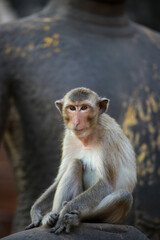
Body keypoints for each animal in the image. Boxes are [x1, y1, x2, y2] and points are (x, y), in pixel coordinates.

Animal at [25, 87, 137, 233]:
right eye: (72, 108)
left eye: (84, 108)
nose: (76, 122)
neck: (88, 135)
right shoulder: (69, 138)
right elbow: (59, 178)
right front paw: (36, 211)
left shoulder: (108, 138)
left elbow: (106, 184)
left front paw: (65, 211)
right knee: (74, 164)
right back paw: (52, 217)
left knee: (124, 196)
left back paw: (77, 218)